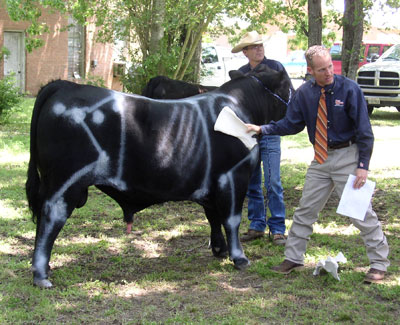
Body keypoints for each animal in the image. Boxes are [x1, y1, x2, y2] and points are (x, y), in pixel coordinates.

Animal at [25, 64, 290, 288]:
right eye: (287, 84)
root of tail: (65, 85)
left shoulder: (212, 182)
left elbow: (213, 217)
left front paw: (219, 250)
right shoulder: (234, 176)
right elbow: (231, 219)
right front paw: (239, 258)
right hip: (64, 182)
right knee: (51, 217)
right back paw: (41, 276)